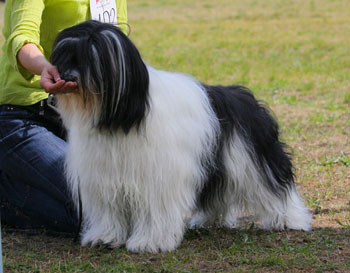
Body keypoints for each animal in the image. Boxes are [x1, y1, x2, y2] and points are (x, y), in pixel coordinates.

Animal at [50, 20, 312, 252]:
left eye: (93, 56)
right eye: (65, 55)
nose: (69, 77)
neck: (119, 118)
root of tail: (243, 96)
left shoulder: (158, 179)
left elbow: (154, 213)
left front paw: (150, 242)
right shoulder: (103, 177)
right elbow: (109, 211)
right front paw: (105, 237)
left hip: (253, 161)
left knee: (274, 189)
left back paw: (288, 219)